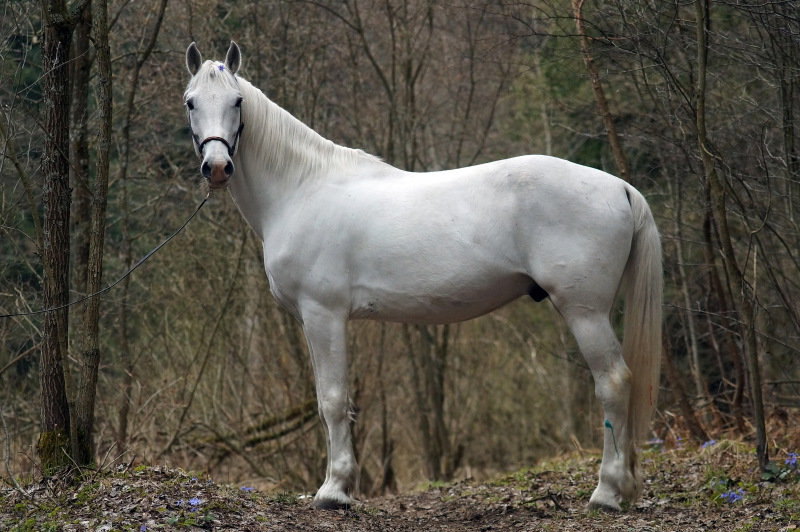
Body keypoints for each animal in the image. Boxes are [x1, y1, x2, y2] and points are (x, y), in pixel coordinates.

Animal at [183, 41, 664, 512]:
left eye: (237, 101)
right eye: (191, 102)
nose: (218, 167)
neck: (301, 189)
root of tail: (619, 187)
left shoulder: (323, 314)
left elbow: (333, 401)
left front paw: (334, 491)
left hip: (585, 311)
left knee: (613, 383)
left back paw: (607, 493)